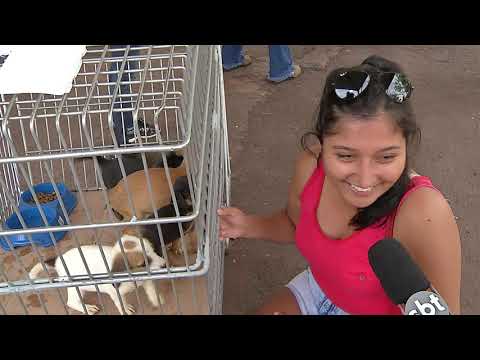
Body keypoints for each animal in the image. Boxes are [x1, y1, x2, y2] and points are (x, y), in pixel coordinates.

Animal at [29, 233, 167, 316]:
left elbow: (151, 290)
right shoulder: (115, 293)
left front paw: (156, 300)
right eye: (143, 262)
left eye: (153, 250)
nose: (164, 265)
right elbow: (120, 302)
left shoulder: (146, 279)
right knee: (71, 302)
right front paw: (126, 309)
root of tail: (58, 259)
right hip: (76, 288)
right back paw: (88, 308)